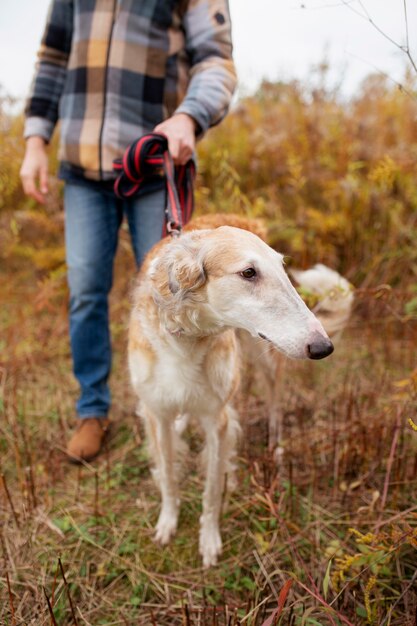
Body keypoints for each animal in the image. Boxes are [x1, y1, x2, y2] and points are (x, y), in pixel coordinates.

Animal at [127, 213, 334, 564]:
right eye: (248, 272)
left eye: (282, 269)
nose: (323, 347)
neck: (185, 340)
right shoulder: (157, 414)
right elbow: (168, 476)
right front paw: (168, 523)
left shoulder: (217, 419)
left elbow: (212, 489)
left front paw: (209, 540)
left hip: (267, 360)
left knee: (274, 405)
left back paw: (275, 448)